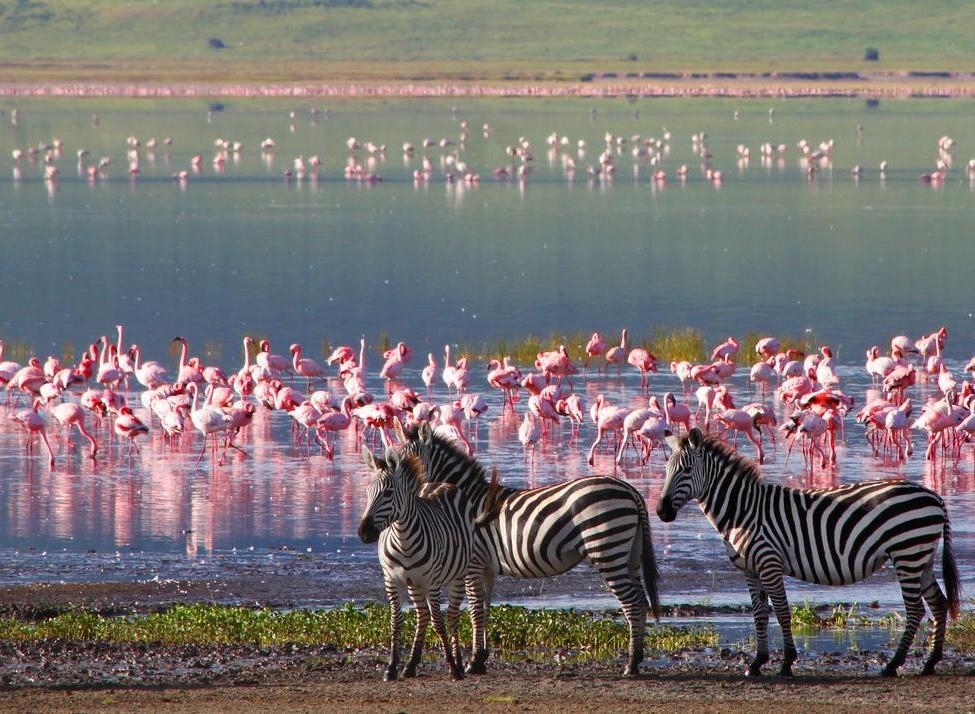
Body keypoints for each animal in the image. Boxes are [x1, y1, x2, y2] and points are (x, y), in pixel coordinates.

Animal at [359, 447, 483, 681]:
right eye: (368, 493)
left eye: (387, 493)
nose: (363, 533)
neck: (403, 539)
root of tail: (440, 483)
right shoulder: (391, 580)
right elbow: (396, 621)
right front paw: (391, 667)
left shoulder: (432, 583)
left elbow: (439, 621)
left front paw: (452, 666)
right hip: (413, 583)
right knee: (422, 615)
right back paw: (410, 665)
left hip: (458, 575)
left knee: (451, 616)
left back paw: (458, 663)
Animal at [394, 419, 661, 677]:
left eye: (409, 465)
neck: (465, 502)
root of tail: (631, 491)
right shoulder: (487, 568)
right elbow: (485, 608)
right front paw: (481, 659)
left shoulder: (473, 564)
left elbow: (474, 610)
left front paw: (473, 662)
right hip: (629, 553)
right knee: (640, 599)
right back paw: (636, 659)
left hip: (606, 548)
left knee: (631, 602)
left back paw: (631, 665)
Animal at [657, 427, 961, 677]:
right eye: (666, 469)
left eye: (685, 470)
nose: (661, 511)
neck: (742, 511)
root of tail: (934, 496)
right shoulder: (750, 570)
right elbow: (759, 614)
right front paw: (757, 662)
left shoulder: (769, 563)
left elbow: (781, 612)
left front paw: (786, 663)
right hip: (921, 556)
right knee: (938, 603)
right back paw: (930, 662)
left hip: (907, 553)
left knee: (915, 610)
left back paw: (893, 664)